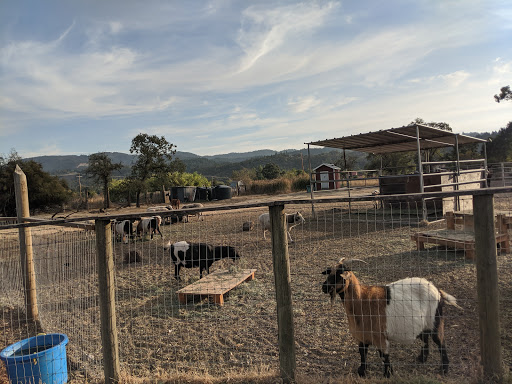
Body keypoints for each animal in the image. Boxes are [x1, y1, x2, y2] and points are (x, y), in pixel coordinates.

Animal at [320, 258, 460, 378]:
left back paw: (444, 369)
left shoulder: (380, 336)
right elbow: (362, 353)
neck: (362, 300)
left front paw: (388, 374)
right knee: (425, 339)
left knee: (440, 342)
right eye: (329, 273)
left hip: (435, 321)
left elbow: (384, 355)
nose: (324, 287)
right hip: (423, 325)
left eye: (339, 274)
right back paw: (422, 359)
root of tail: (438, 291)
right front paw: (362, 371)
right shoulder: (362, 335)